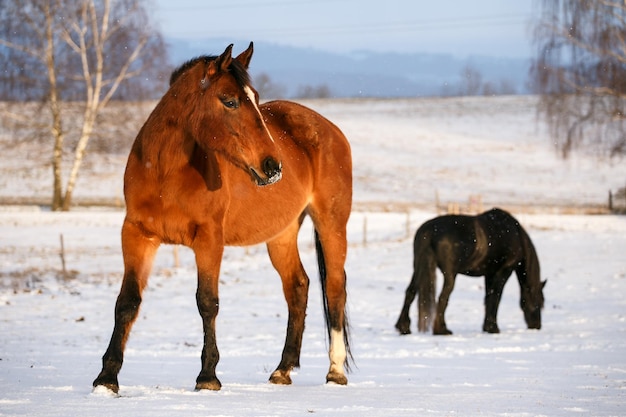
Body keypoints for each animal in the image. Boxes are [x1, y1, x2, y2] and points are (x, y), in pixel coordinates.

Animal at [92, 44, 352, 392]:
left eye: (255, 97)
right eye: (229, 101)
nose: (273, 166)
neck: (165, 174)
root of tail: (329, 128)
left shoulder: (209, 239)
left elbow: (207, 301)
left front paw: (208, 376)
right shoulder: (136, 234)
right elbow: (127, 301)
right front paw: (107, 378)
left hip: (331, 224)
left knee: (335, 289)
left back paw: (335, 371)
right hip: (281, 235)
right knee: (298, 286)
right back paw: (282, 370)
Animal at [398, 208, 544, 334]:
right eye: (540, 302)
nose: (537, 325)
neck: (517, 236)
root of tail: (428, 231)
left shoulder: (489, 274)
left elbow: (488, 297)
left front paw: (487, 327)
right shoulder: (503, 272)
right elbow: (495, 297)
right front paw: (493, 328)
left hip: (418, 268)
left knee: (410, 292)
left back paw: (403, 327)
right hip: (449, 275)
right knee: (443, 297)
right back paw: (442, 330)